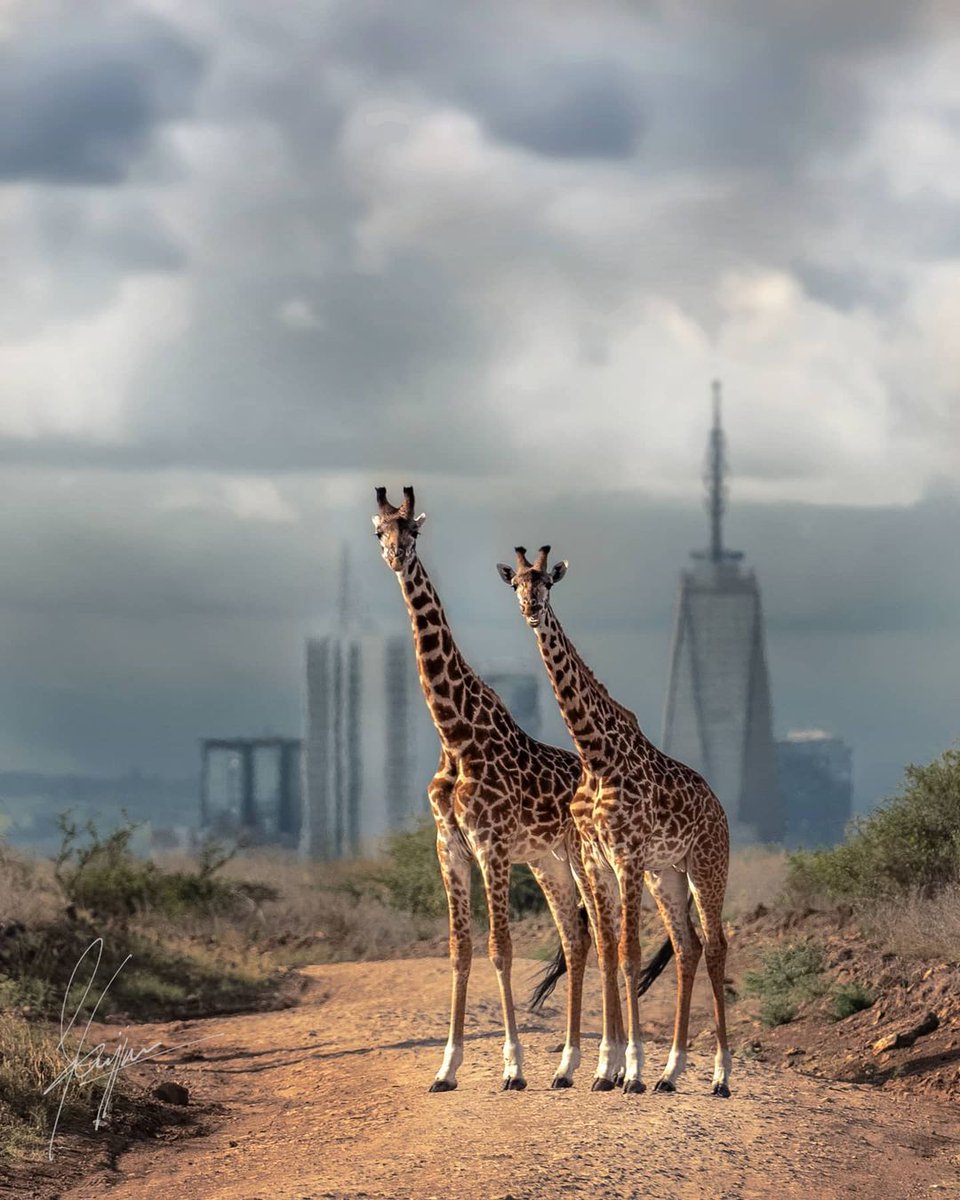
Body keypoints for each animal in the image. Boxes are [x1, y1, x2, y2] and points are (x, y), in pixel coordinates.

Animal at [372, 487, 589, 1092]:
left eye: (414, 531)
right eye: (379, 531)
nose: (396, 557)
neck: (455, 733)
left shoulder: (490, 843)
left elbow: (499, 948)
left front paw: (513, 1066)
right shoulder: (449, 846)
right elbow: (459, 950)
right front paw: (446, 1068)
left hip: (581, 858)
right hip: (548, 861)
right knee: (576, 939)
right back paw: (569, 1064)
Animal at [497, 545, 732, 1097]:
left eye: (547, 582)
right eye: (516, 583)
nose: (531, 610)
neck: (595, 754)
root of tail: (721, 811)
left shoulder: (627, 856)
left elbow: (627, 952)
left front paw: (630, 1072)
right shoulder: (598, 859)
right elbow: (606, 950)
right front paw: (608, 1069)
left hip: (706, 867)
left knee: (715, 946)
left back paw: (720, 1078)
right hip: (668, 874)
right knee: (688, 947)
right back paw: (671, 1073)